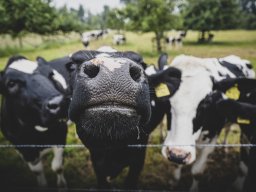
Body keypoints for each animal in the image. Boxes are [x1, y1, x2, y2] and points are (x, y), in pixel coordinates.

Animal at [0, 56, 70, 189]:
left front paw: (62, 185)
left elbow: (57, 167)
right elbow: (37, 171)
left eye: (51, 74)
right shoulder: (24, 149)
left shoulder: (61, 135)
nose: (60, 102)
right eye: (11, 83)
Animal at [161, 54, 255, 190]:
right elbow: (176, 167)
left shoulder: (211, 140)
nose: (177, 154)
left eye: (206, 102)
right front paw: (174, 182)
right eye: (166, 100)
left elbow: (197, 172)